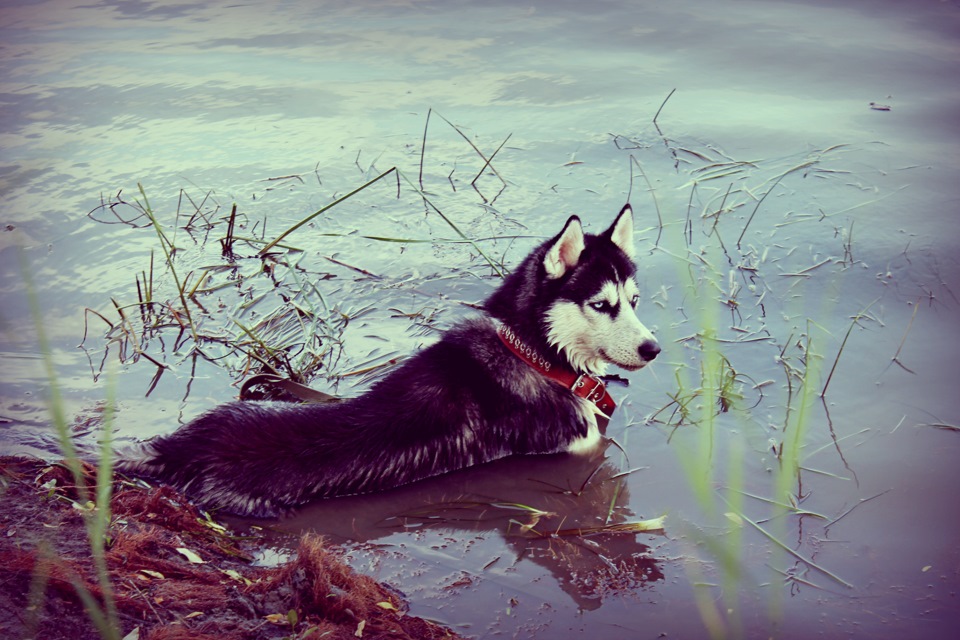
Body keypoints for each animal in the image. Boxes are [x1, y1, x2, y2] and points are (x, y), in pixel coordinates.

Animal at [116, 208, 660, 516]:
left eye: (634, 300)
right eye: (601, 305)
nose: (653, 349)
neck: (532, 353)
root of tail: (182, 447)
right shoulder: (579, 448)